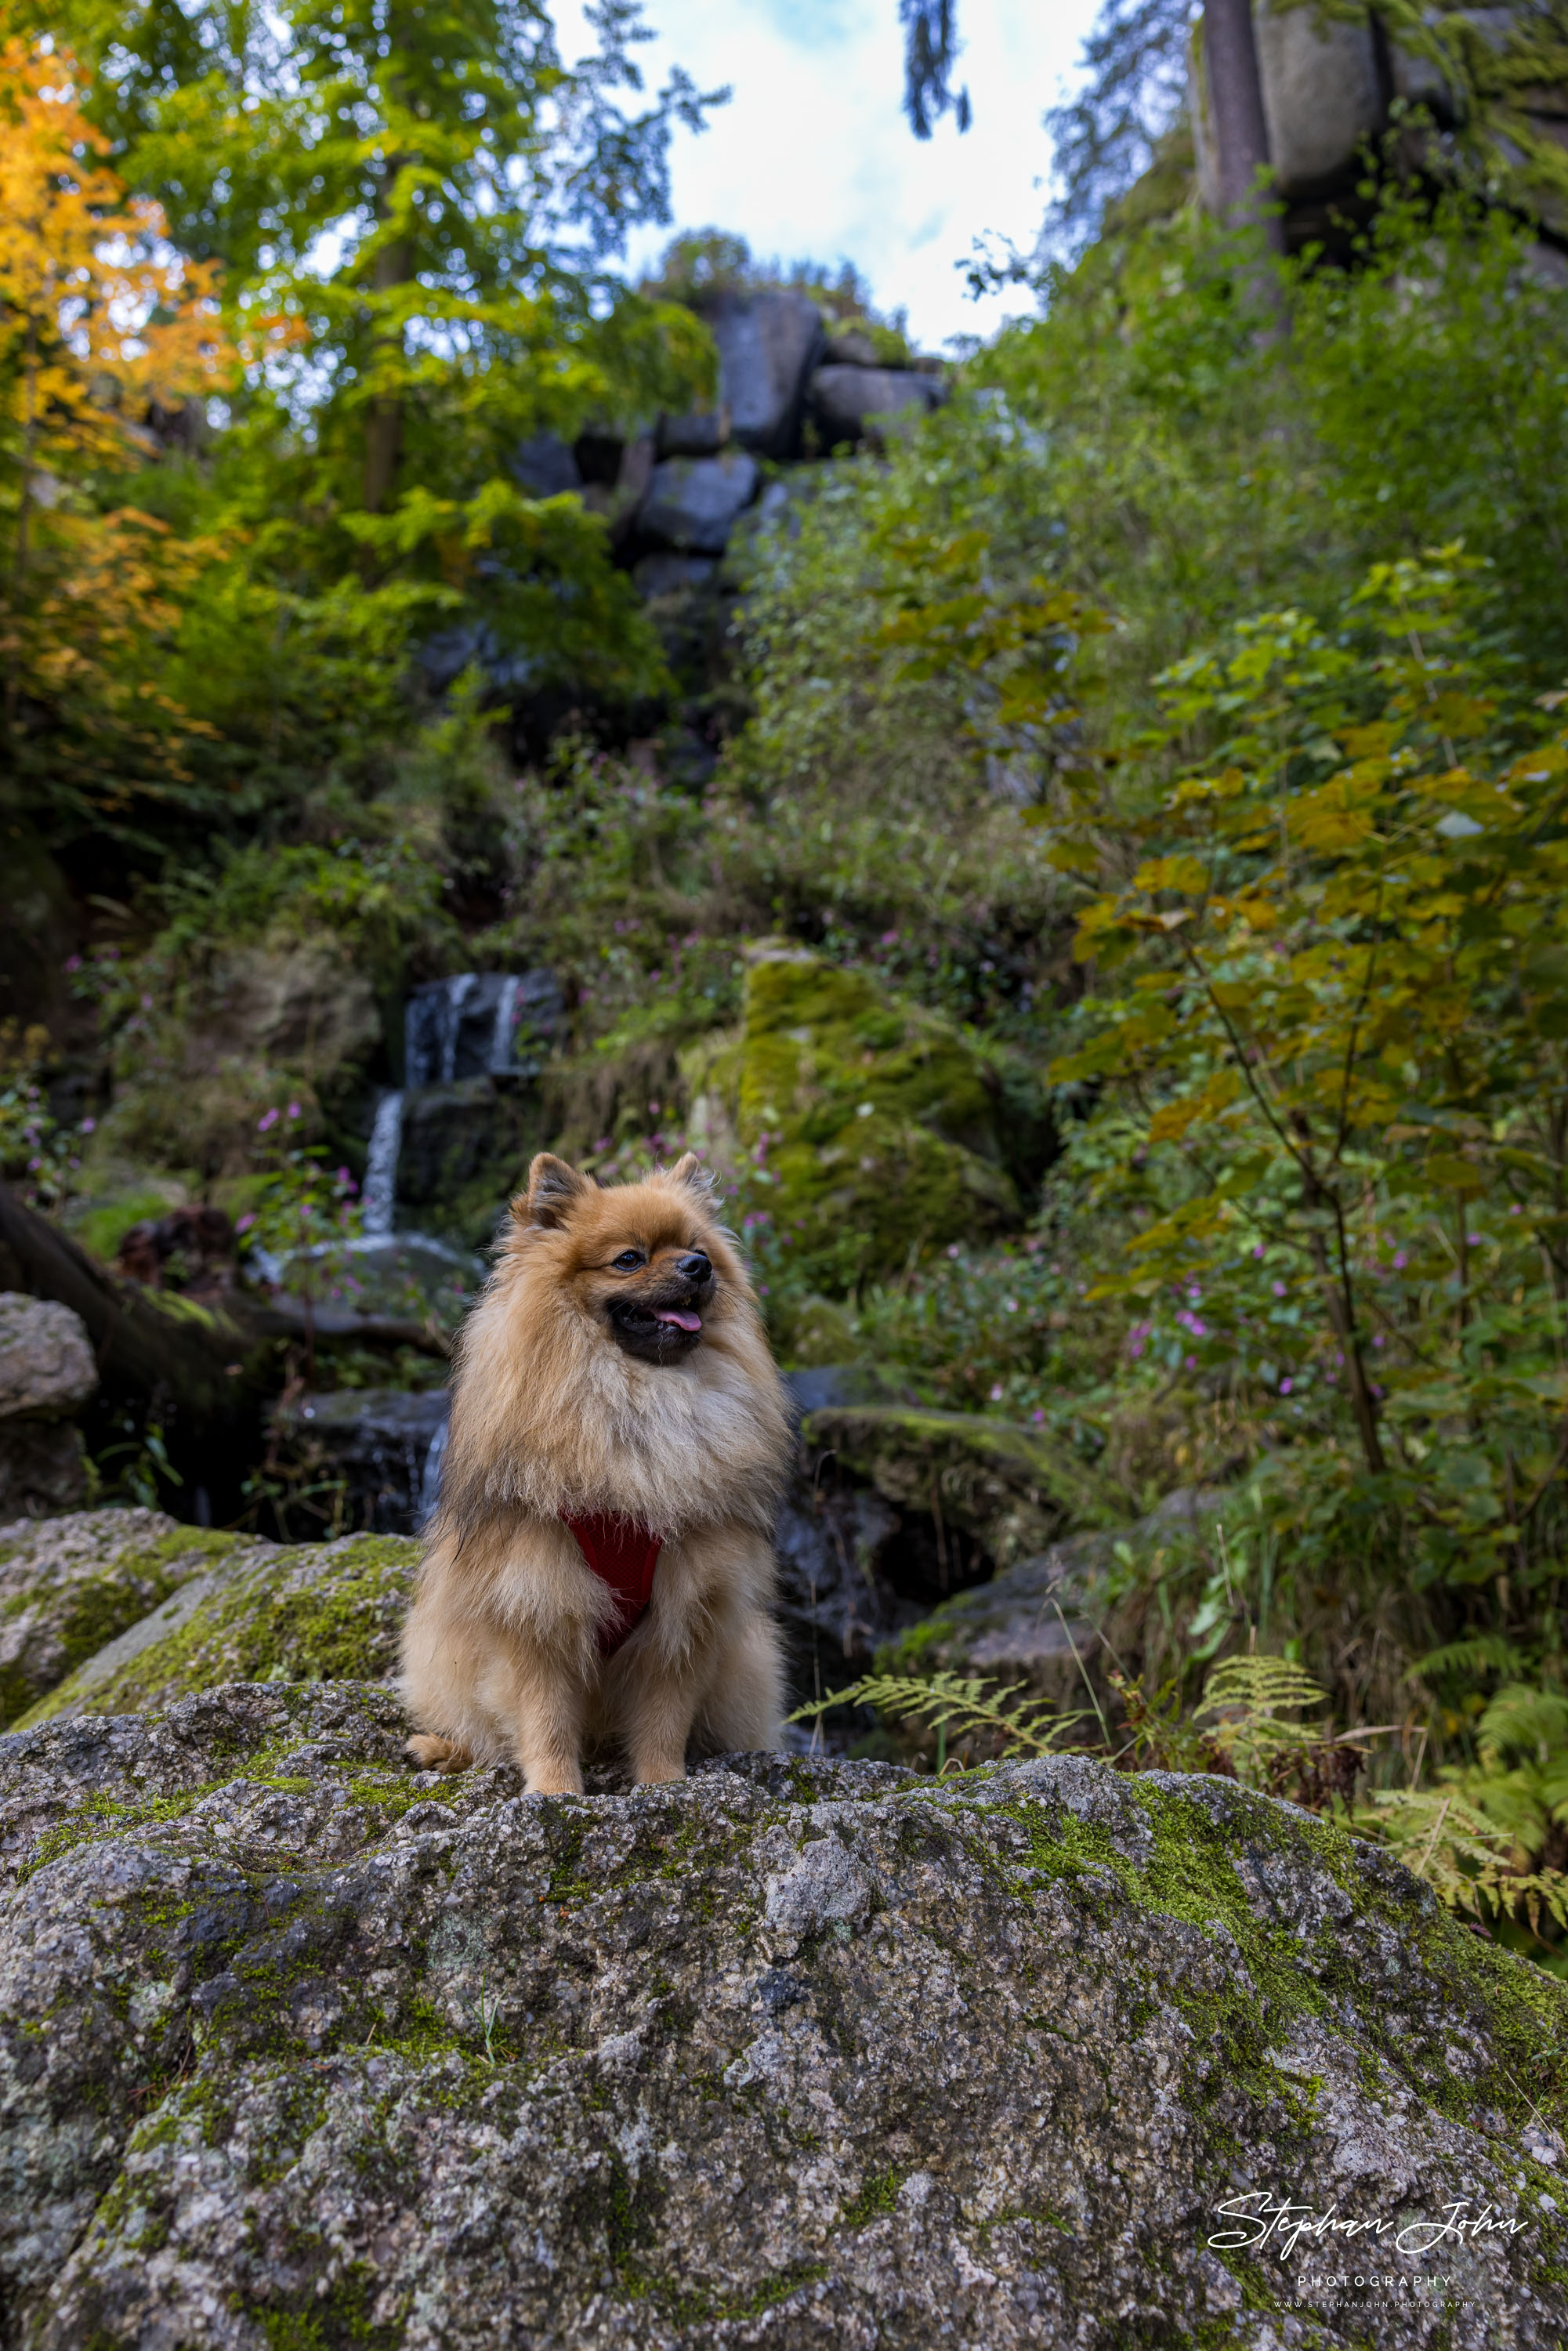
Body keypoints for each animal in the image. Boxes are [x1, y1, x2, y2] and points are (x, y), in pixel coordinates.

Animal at [400, 1157, 790, 1796]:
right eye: (629, 1259)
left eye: (696, 1249)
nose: (698, 1267)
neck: (639, 1402)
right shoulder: (537, 1601)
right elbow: (547, 1718)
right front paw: (555, 1793)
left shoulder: (687, 1611)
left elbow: (663, 1719)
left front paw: (664, 1786)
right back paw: (444, 1749)